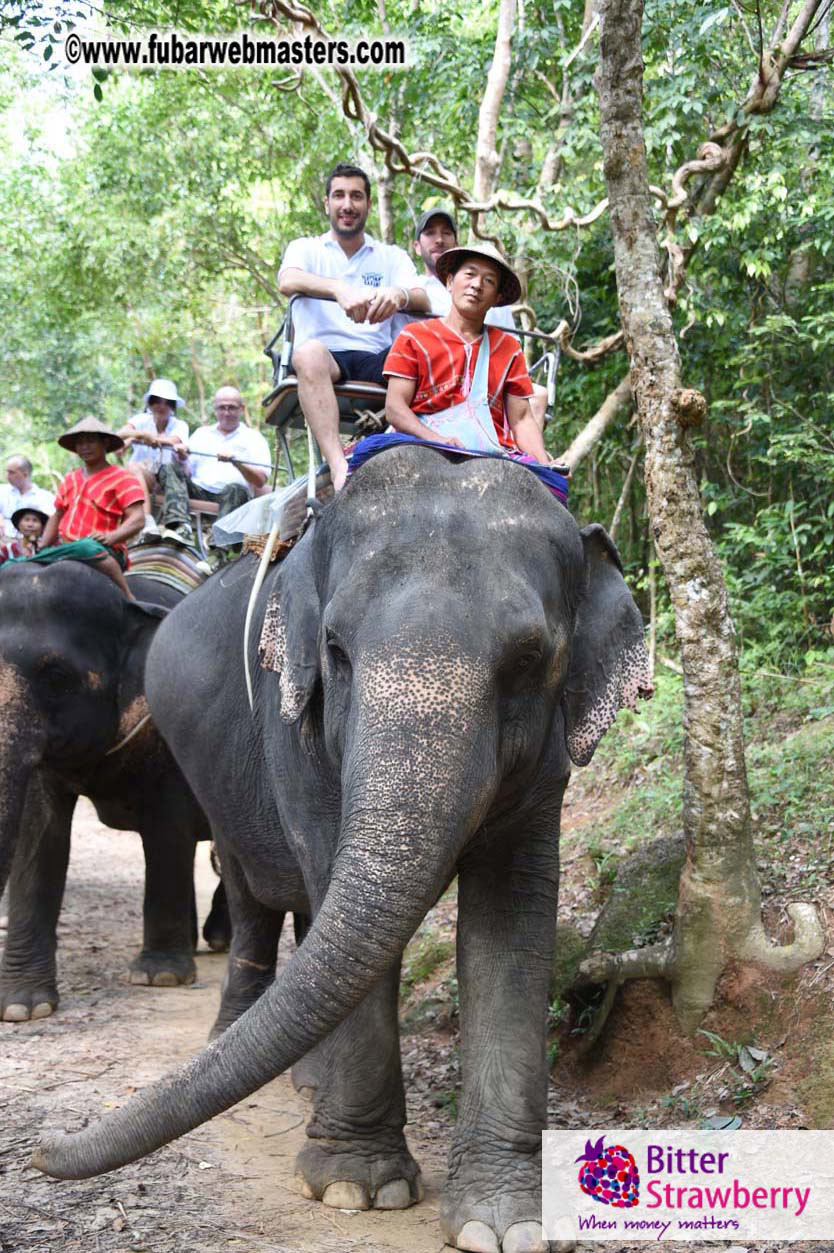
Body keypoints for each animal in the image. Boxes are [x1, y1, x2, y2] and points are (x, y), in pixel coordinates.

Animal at [0, 558, 228, 1023]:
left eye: (56, 677)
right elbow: (39, 836)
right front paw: (22, 1007)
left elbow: (167, 830)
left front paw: (160, 977)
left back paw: (216, 939)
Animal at [34, 445, 652, 1253]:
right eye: (335, 650)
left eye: (530, 659)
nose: (42, 1152)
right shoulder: (292, 723)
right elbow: (330, 873)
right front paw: (356, 1188)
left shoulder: (547, 769)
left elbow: (510, 921)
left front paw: (504, 1222)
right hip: (212, 775)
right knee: (254, 892)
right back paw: (243, 1047)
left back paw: (306, 1081)